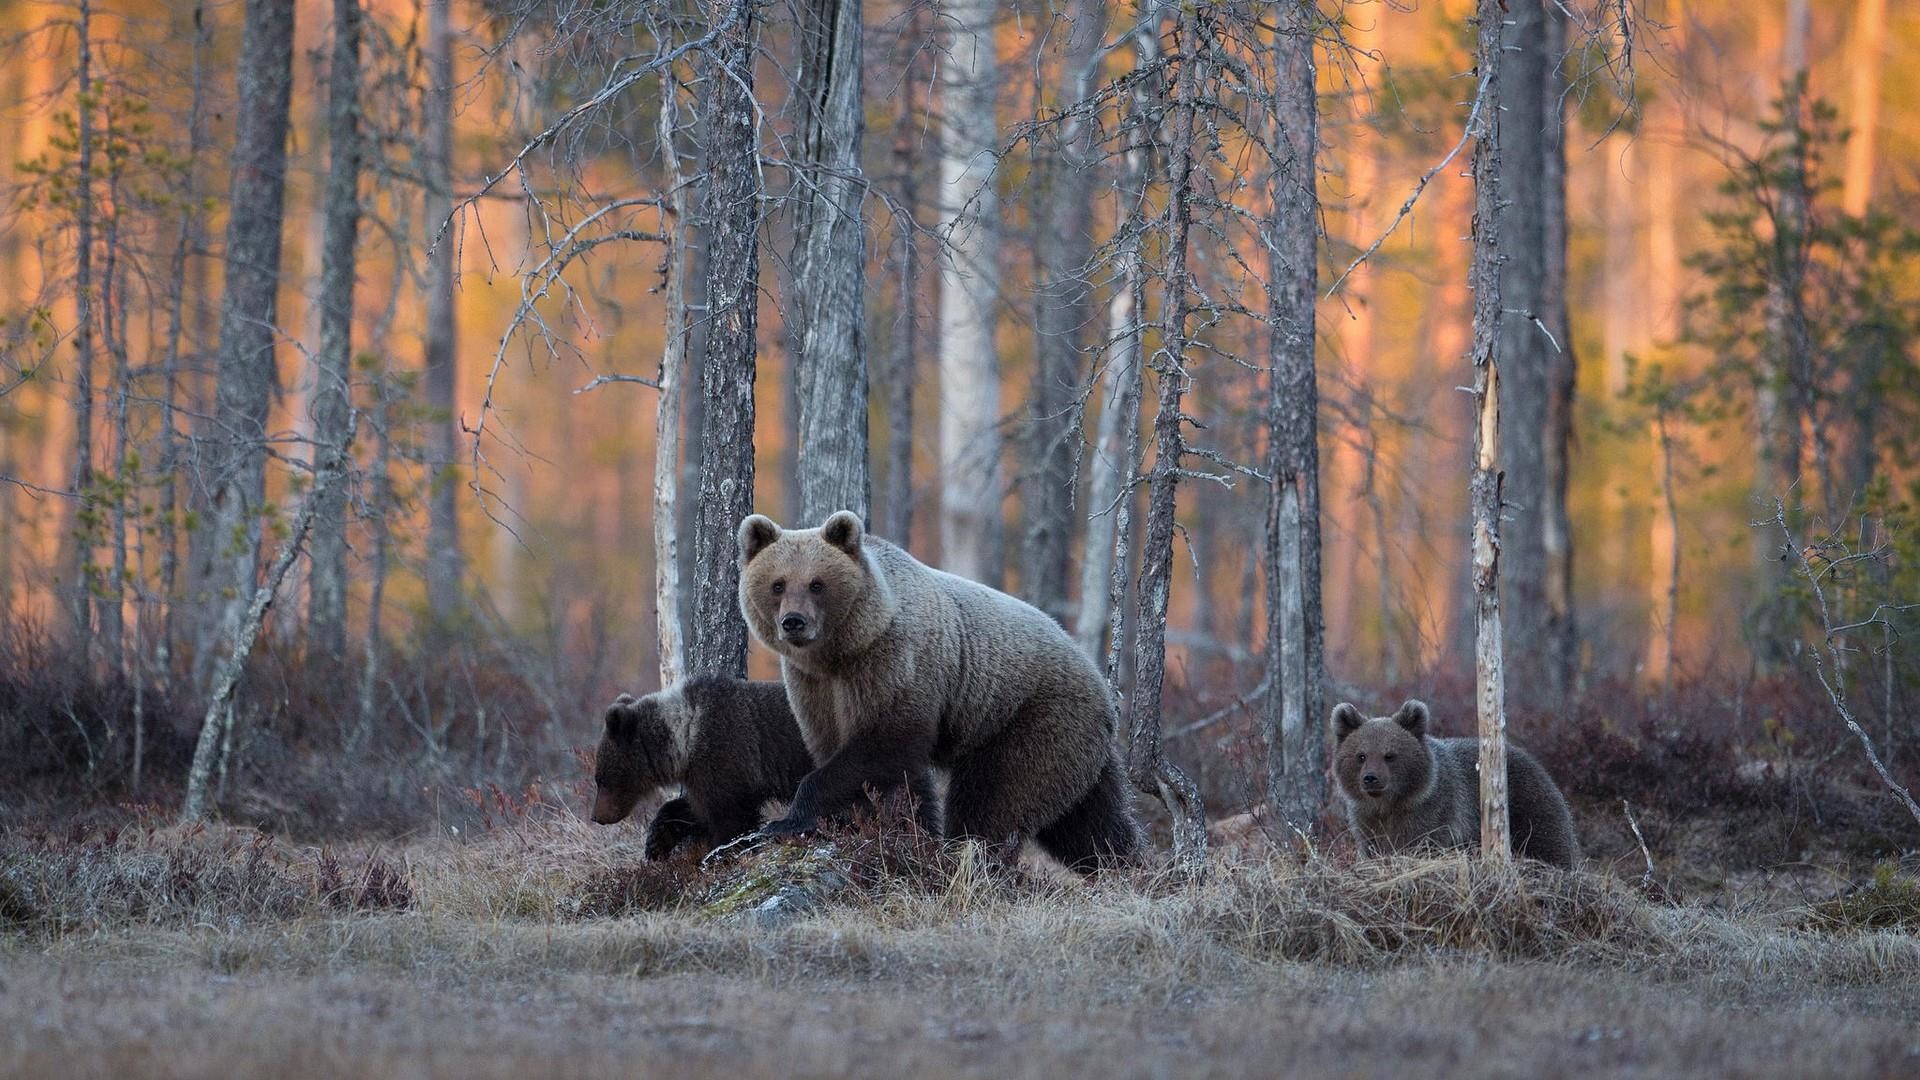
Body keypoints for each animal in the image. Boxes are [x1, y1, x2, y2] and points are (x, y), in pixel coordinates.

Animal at [590, 676, 817, 860]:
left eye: (601, 779)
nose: (596, 816)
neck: (684, 739)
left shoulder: (722, 754)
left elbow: (729, 817)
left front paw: (723, 851)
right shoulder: (702, 774)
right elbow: (693, 809)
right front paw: (656, 843)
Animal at [736, 510, 1142, 873]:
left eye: (817, 583)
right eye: (778, 584)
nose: (794, 622)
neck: (841, 652)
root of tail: (1100, 682)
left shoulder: (894, 665)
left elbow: (883, 746)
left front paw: (787, 821)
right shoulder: (814, 687)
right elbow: (865, 763)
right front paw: (888, 828)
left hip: (1031, 719)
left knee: (996, 799)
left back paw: (971, 857)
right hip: (1077, 748)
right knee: (1089, 821)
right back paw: (1127, 868)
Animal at [1330, 699, 1580, 869]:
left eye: (1389, 755)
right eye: (1361, 755)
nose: (1371, 778)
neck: (1392, 804)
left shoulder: (1433, 812)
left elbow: (1421, 843)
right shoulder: (1366, 819)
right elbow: (1373, 846)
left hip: (1531, 805)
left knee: (1549, 841)